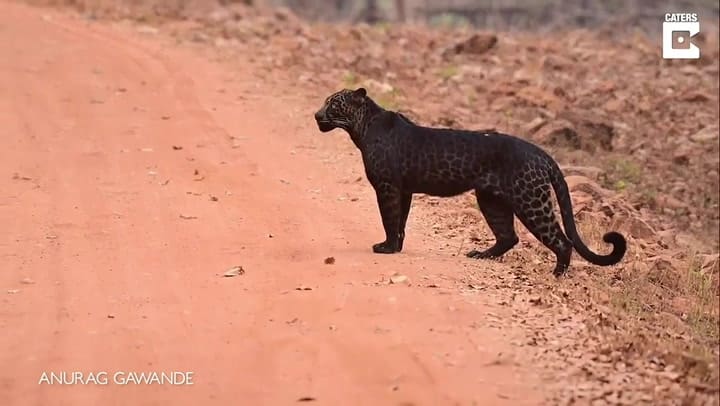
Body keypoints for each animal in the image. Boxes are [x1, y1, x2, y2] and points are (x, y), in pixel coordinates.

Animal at [313, 87, 627, 277]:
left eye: (334, 103)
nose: (316, 115)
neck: (361, 127)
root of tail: (541, 152)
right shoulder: (404, 190)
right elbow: (400, 221)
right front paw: (396, 247)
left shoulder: (387, 186)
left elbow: (389, 218)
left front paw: (386, 248)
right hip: (491, 200)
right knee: (508, 236)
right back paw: (481, 255)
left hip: (530, 201)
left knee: (561, 240)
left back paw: (557, 275)